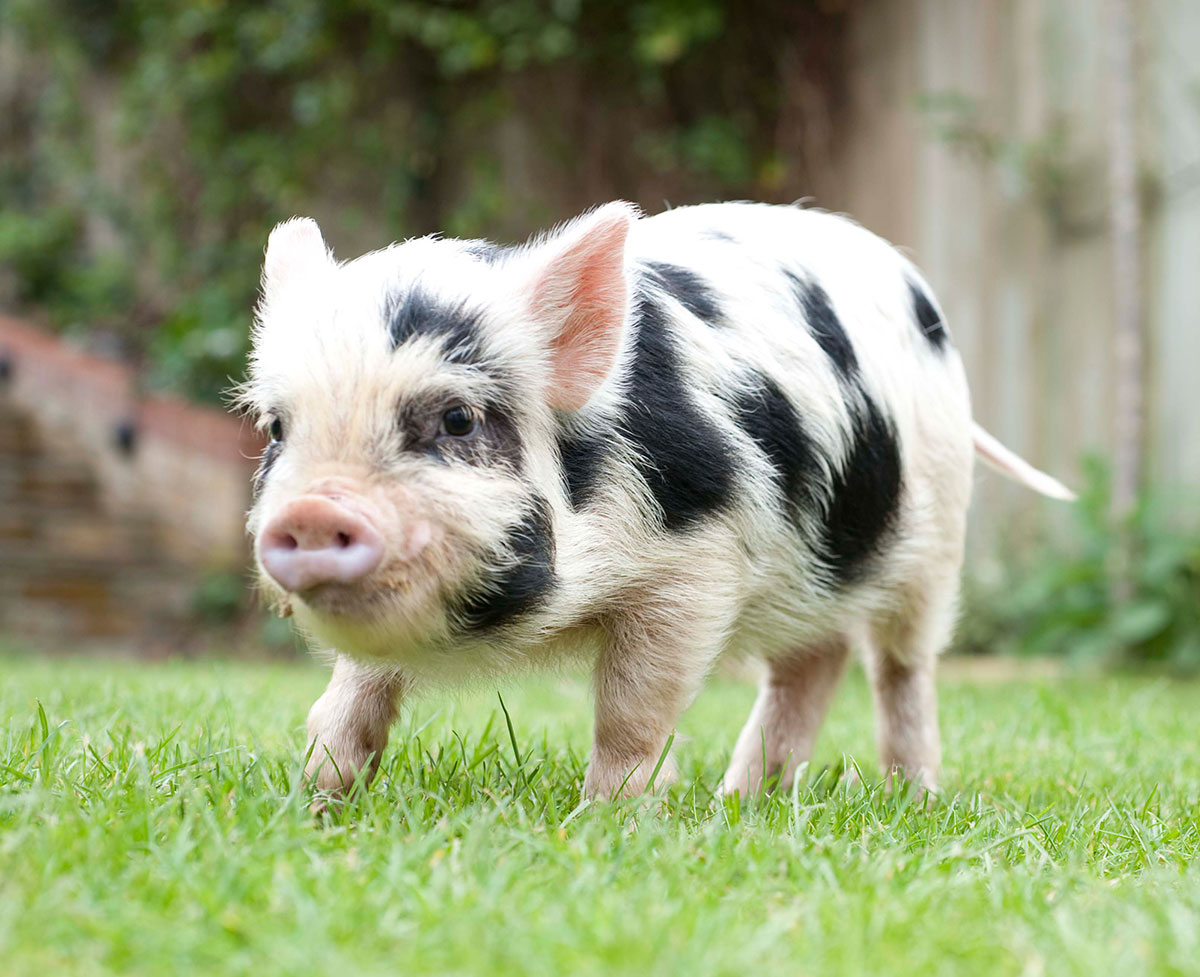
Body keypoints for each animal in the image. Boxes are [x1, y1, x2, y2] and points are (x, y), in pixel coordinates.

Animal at [238, 199, 1075, 801]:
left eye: (457, 419)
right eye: (278, 427)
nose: (313, 511)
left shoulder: (695, 567)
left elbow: (633, 708)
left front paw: (606, 817)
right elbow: (354, 689)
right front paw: (316, 798)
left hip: (935, 537)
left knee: (901, 665)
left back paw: (912, 796)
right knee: (815, 657)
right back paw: (745, 801)